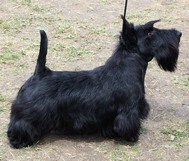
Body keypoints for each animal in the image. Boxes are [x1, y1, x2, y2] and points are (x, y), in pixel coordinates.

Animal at [7, 16, 182, 148]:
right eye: (150, 32)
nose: (179, 33)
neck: (125, 67)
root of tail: (41, 72)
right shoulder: (129, 110)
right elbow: (127, 124)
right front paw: (132, 137)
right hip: (30, 114)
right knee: (21, 125)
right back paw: (20, 140)